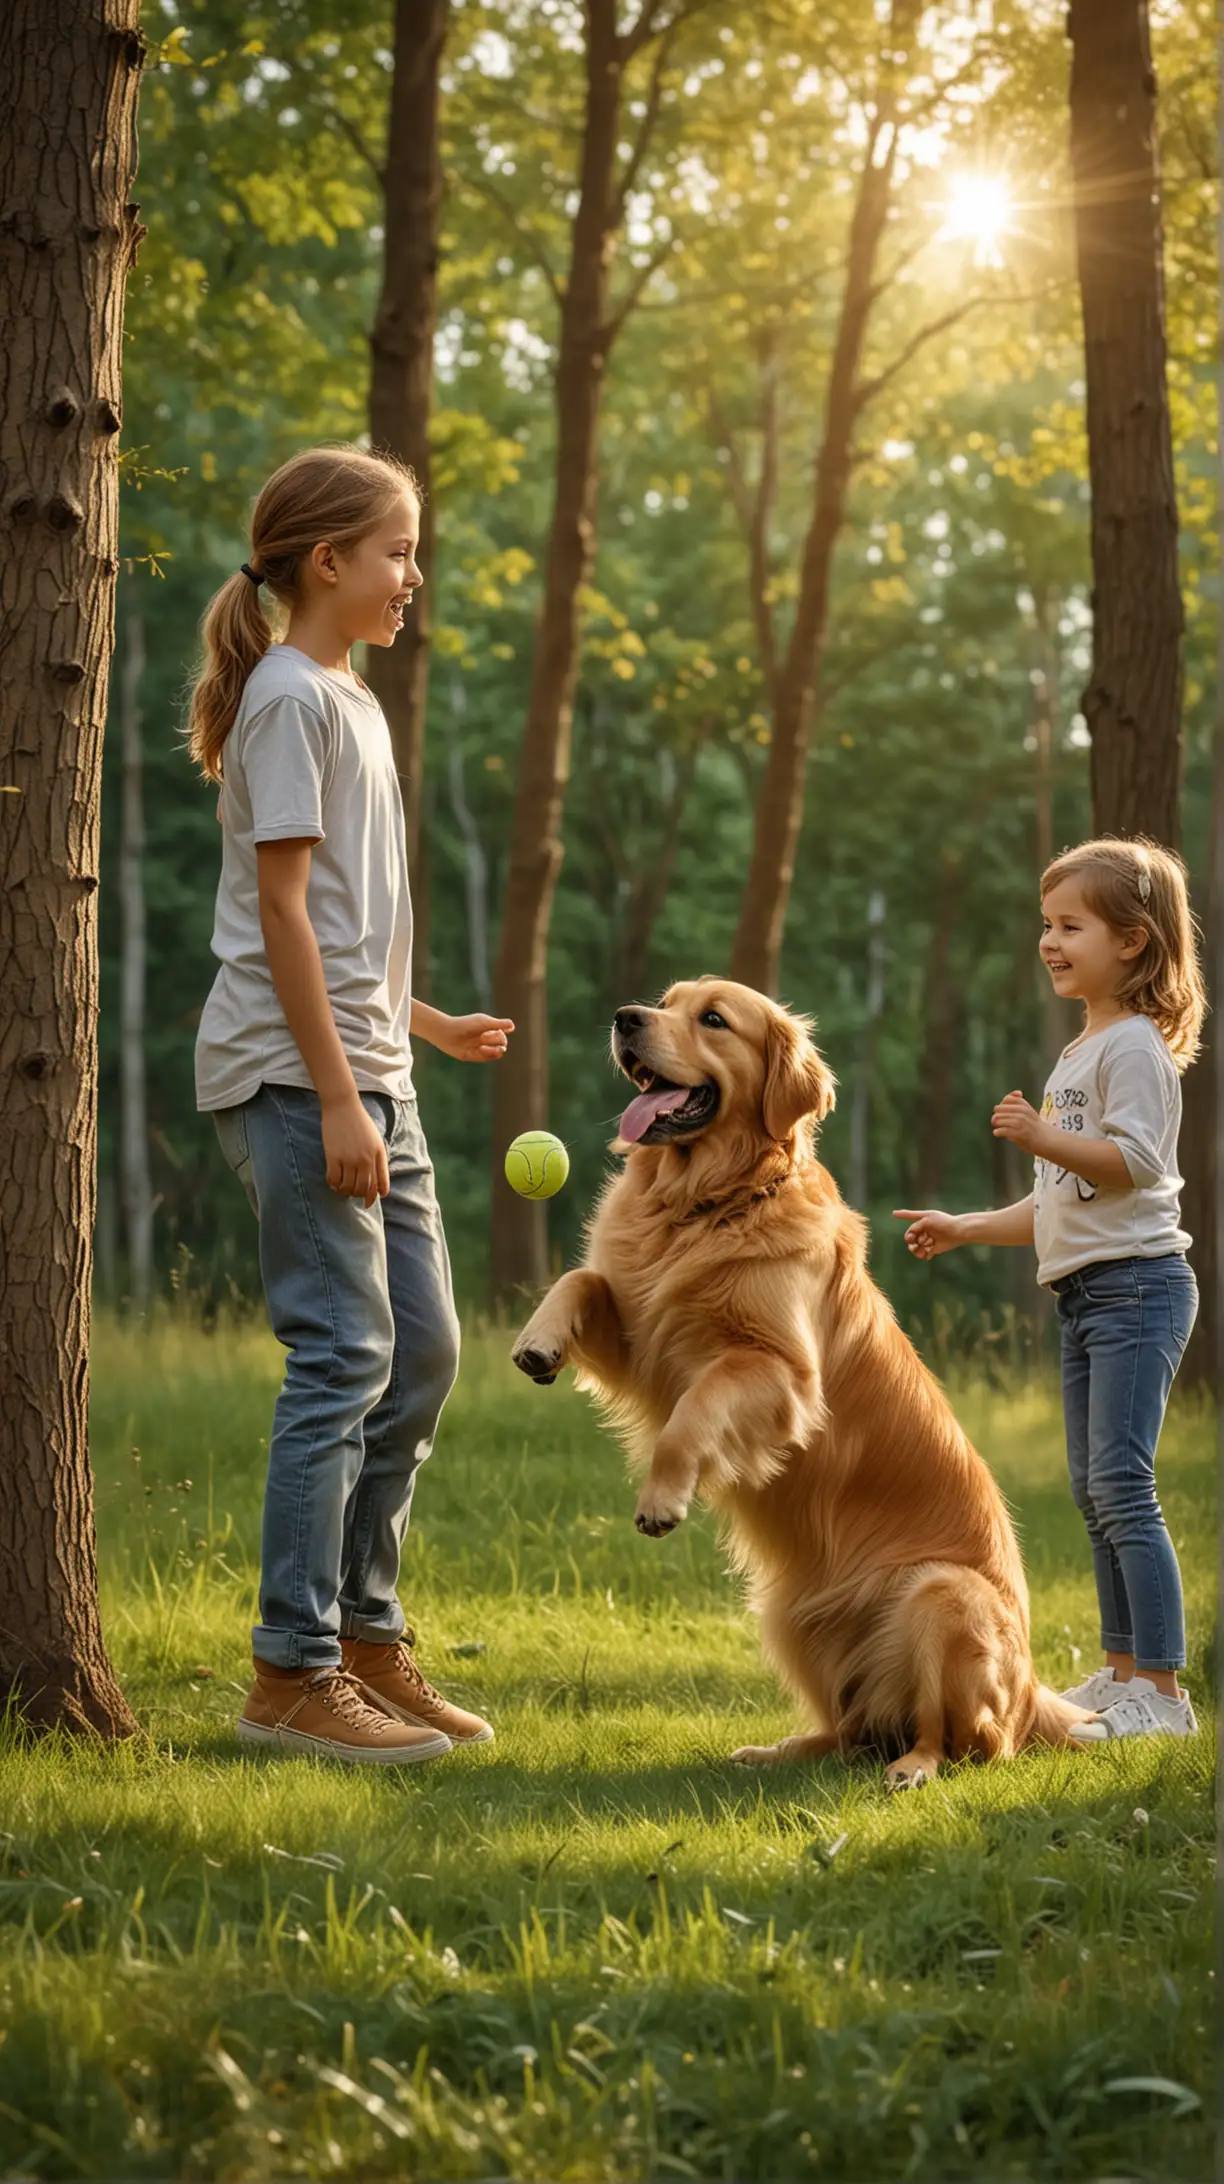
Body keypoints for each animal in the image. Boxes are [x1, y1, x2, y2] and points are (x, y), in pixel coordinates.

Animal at [509, 982, 1088, 1782]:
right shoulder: (642, 1336)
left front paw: (662, 1497)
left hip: (941, 1595)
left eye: (714, 1019)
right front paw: (539, 1340)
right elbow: (582, 1279)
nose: (625, 1019)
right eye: (666, 1001)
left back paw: (912, 1767)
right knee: (849, 1731)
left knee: (957, 1739)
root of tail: (1033, 1692)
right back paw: (775, 1751)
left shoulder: (782, 1373)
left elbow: (697, 1408)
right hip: (792, 1617)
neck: (706, 1201)